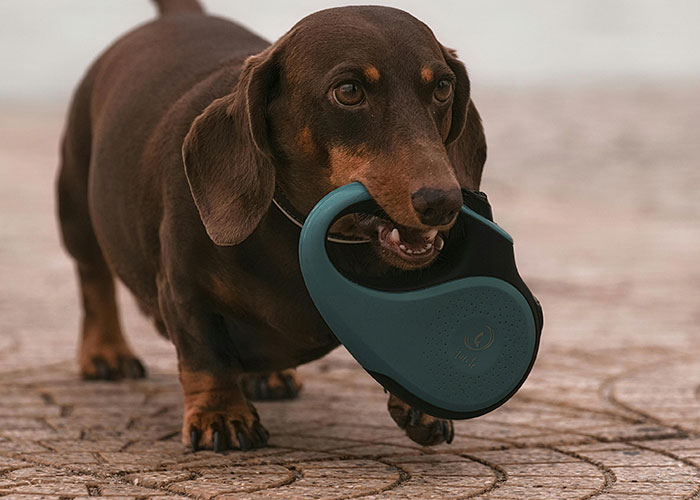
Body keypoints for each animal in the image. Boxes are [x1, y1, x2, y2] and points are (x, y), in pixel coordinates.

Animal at [56, 0, 487, 451]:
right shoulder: (183, 288)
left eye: (443, 87)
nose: (443, 202)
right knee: (94, 280)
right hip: (77, 209)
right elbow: (205, 354)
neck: (306, 232)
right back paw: (107, 351)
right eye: (349, 91)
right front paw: (220, 414)